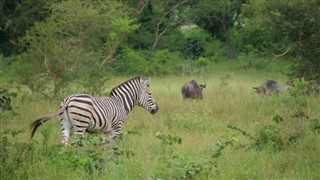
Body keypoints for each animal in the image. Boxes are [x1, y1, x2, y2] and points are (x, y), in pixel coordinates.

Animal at [30, 76, 159, 146]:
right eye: (150, 94)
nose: (157, 109)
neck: (121, 102)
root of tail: (68, 99)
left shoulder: (107, 131)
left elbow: (107, 147)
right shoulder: (117, 127)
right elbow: (114, 147)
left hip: (65, 124)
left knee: (64, 143)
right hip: (80, 124)